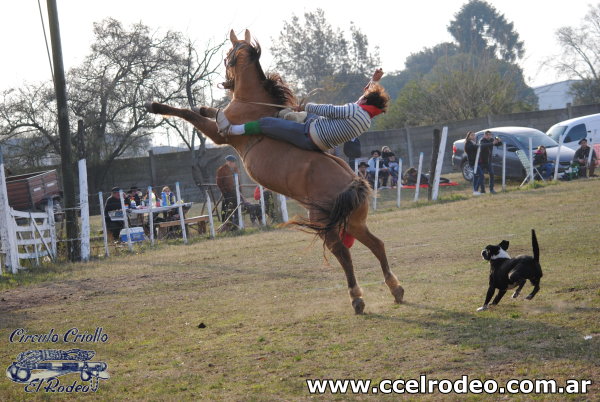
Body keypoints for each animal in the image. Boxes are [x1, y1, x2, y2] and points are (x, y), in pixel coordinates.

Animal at [145, 29, 404, 314]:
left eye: (227, 56)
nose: (225, 82)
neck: (253, 103)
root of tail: (354, 183)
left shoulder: (219, 135)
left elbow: (191, 115)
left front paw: (155, 106)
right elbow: (204, 112)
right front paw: (204, 107)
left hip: (324, 220)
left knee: (343, 254)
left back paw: (357, 299)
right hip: (355, 222)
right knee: (377, 244)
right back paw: (395, 289)